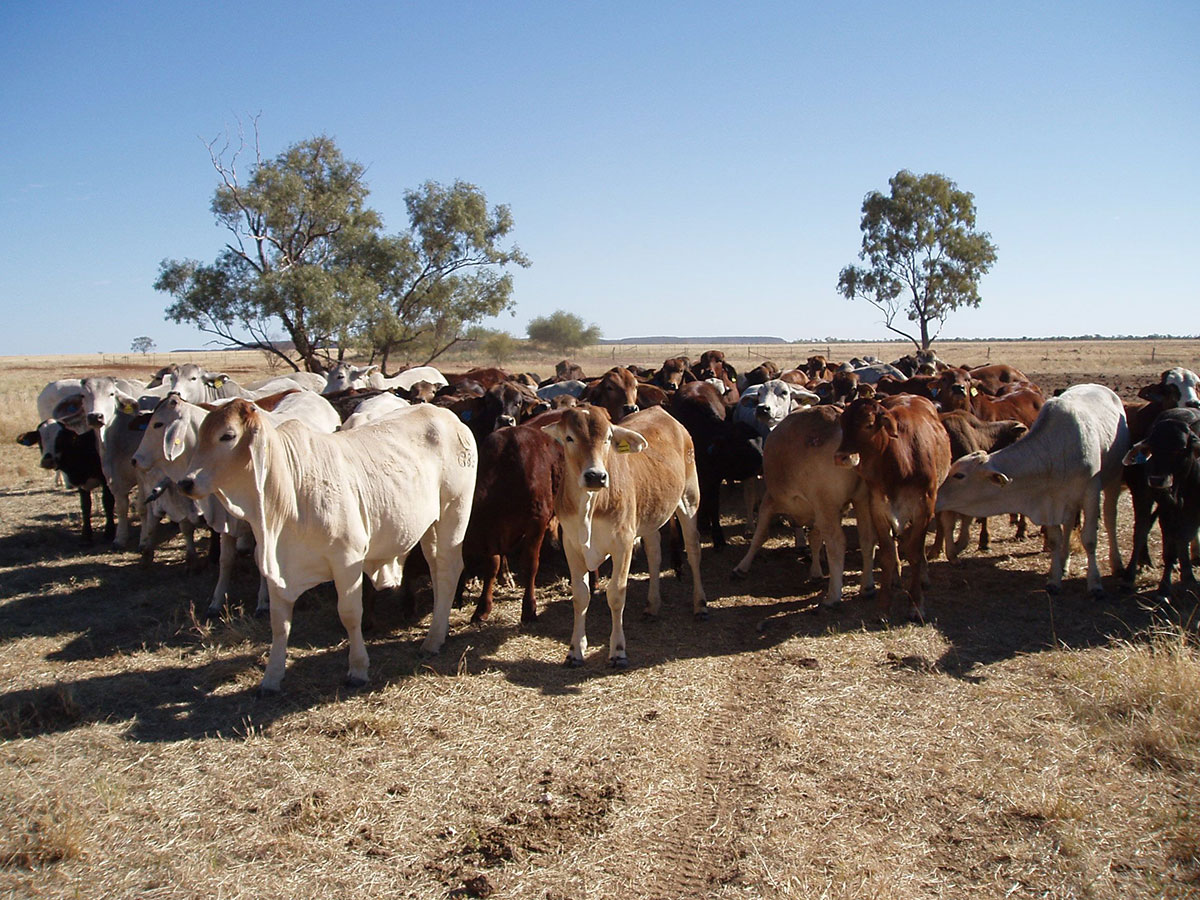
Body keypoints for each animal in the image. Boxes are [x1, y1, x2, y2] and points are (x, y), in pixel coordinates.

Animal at [180, 400, 475, 691]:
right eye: (201, 435)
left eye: (227, 435)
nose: (186, 481)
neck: (287, 490)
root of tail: (447, 416)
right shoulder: (277, 568)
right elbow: (279, 623)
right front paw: (272, 677)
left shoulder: (347, 561)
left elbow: (350, 614)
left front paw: (358, 668)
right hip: (430, 527)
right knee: (437, 571)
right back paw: (440, 629)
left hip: (454, 513)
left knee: (448, 569)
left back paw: (433, 639)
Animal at [840, 398, 950, 624]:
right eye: (842, 424)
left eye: (868, 424)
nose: (841, 457)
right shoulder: (879, 509)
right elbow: (888, 555)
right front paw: (884, 606)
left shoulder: (924, 509)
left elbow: (915, 553)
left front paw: (916, 605)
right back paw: (896, 578)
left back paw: (923, 575)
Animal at [931, 381, 1128, 600]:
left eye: (959, 475)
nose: (937, 496)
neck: (1054, 450)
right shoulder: (1050, 500)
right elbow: (1056, 539)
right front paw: (1054, 580)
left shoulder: (1090, 492)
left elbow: (1090, 540)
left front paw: (1095, 584)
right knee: (1069, 525)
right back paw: (1064, 564)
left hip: (1113, 478)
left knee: (1110, 518)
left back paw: (1117, 563)